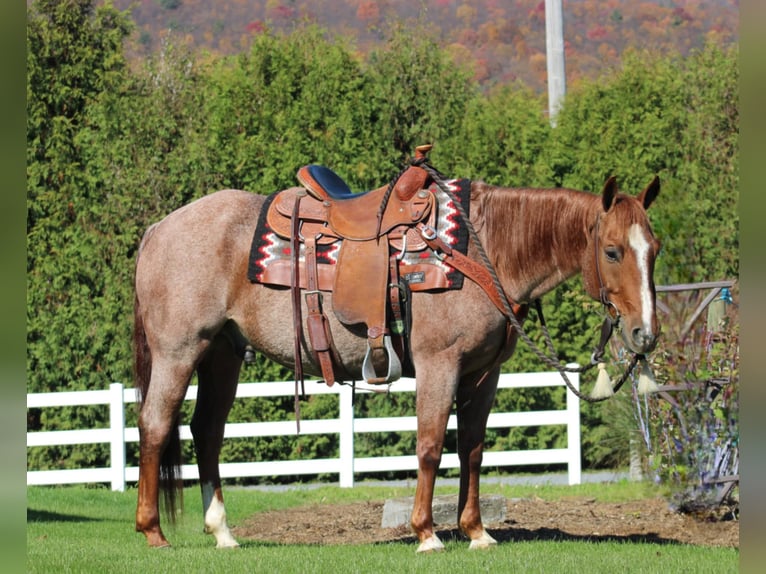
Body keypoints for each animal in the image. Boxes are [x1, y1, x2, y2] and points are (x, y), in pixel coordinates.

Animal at [132, 156, 660, 552]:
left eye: (653, 250)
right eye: (612, 251)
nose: (645, 334)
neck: (480, 250)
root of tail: (159, 228)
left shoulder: (482, 375)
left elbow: (472, 449)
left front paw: (477, 532)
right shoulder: (438, 363)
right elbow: (429, 446)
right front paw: (427, 534)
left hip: (223, 353)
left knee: (207, 432)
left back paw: (222, 532)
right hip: (180, 350)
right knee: (156, 424)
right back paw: (152, 531)